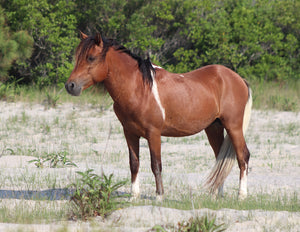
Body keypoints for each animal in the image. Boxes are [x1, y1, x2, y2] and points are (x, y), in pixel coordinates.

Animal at [65, 32, 251, 201]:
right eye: (78, 57)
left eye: (91, 58)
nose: (70, 86)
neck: (139, 89)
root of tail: (238, 79)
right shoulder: (130, 133)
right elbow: (134, 164)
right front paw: (134, 196)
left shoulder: (153, 133)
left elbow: (156, 164)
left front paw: (159, 196)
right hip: (214, 127)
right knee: (221, 160)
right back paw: (217, 196)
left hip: (233, 126)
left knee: (243, 156)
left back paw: (241, 195)